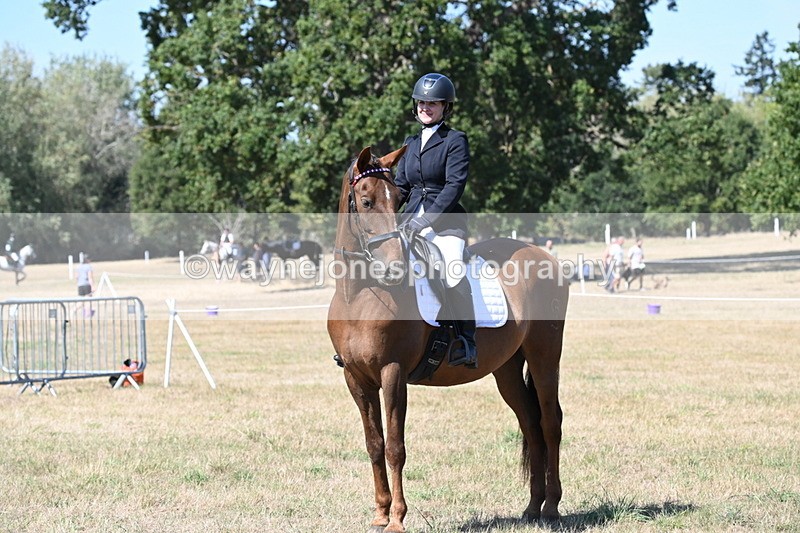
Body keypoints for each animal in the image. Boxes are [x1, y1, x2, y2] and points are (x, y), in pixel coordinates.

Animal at [327, 146, 569, 532]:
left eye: (397, 200)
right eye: (365, 201)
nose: (394, 269)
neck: (360, 295)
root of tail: (544, 256)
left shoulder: (393, 373)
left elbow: (395, 447)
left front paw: (397, 518)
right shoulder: (356, 378)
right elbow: (374, 444)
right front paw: (380, 514)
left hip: (545, 355)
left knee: (550, 422)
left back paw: (552, 508)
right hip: (507, 369)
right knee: (530, 423)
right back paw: (533, 507)